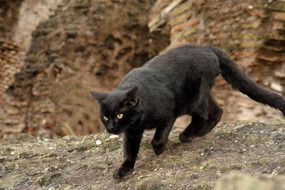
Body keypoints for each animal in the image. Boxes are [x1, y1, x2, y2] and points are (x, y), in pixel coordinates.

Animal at [91, 43, 284, 179]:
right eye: (105, 117)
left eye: (119, 115)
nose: (111, 128)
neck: (140, 119)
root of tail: (204, 46)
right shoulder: (131, 131)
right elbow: (129, 151)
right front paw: (124, 170)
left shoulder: (168, 114)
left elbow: (159, 136)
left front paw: (159, 149)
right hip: (200, 96)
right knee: (217, 111)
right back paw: (194, 134)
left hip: (194, 97)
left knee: (205, 114)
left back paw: (188, 135)